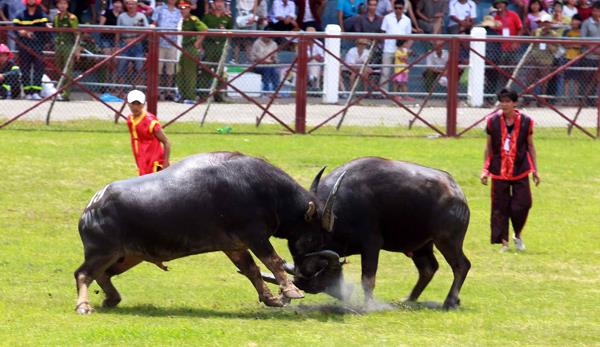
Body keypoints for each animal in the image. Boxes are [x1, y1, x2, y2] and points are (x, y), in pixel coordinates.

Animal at [74, 152, 342, 316]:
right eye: (315, 237)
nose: (307, 274)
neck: (266, 191)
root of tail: (91, 207)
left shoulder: (234, 246)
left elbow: (252, 270)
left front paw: (271, 299)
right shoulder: (255, 237)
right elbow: (272, 260)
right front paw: (291, 291)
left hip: (127, 257)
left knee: (102, 275)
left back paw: (112, 299)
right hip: (103, 253)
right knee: (83, 274)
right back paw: (84, 306)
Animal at [284, 158, 472, 310]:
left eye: (324, 270)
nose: (301, 282)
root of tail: (458, 193)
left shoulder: (372, 245)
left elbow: (368, 279)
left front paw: (368, 305)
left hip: (447, 240)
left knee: (461, 265)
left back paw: (450, 301)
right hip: (422, 245)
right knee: (428, 268)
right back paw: (409, 299)